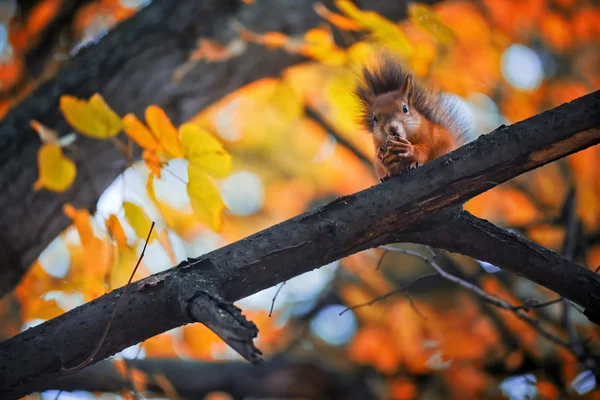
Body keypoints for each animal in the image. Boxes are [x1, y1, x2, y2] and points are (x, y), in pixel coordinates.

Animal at [354, 53, 476, 181]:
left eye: (405, 108)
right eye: (375, 118)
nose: (392, 128)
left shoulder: (425, 134)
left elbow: (423, 150)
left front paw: (408, 149)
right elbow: (391, 167)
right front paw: (385, 161)